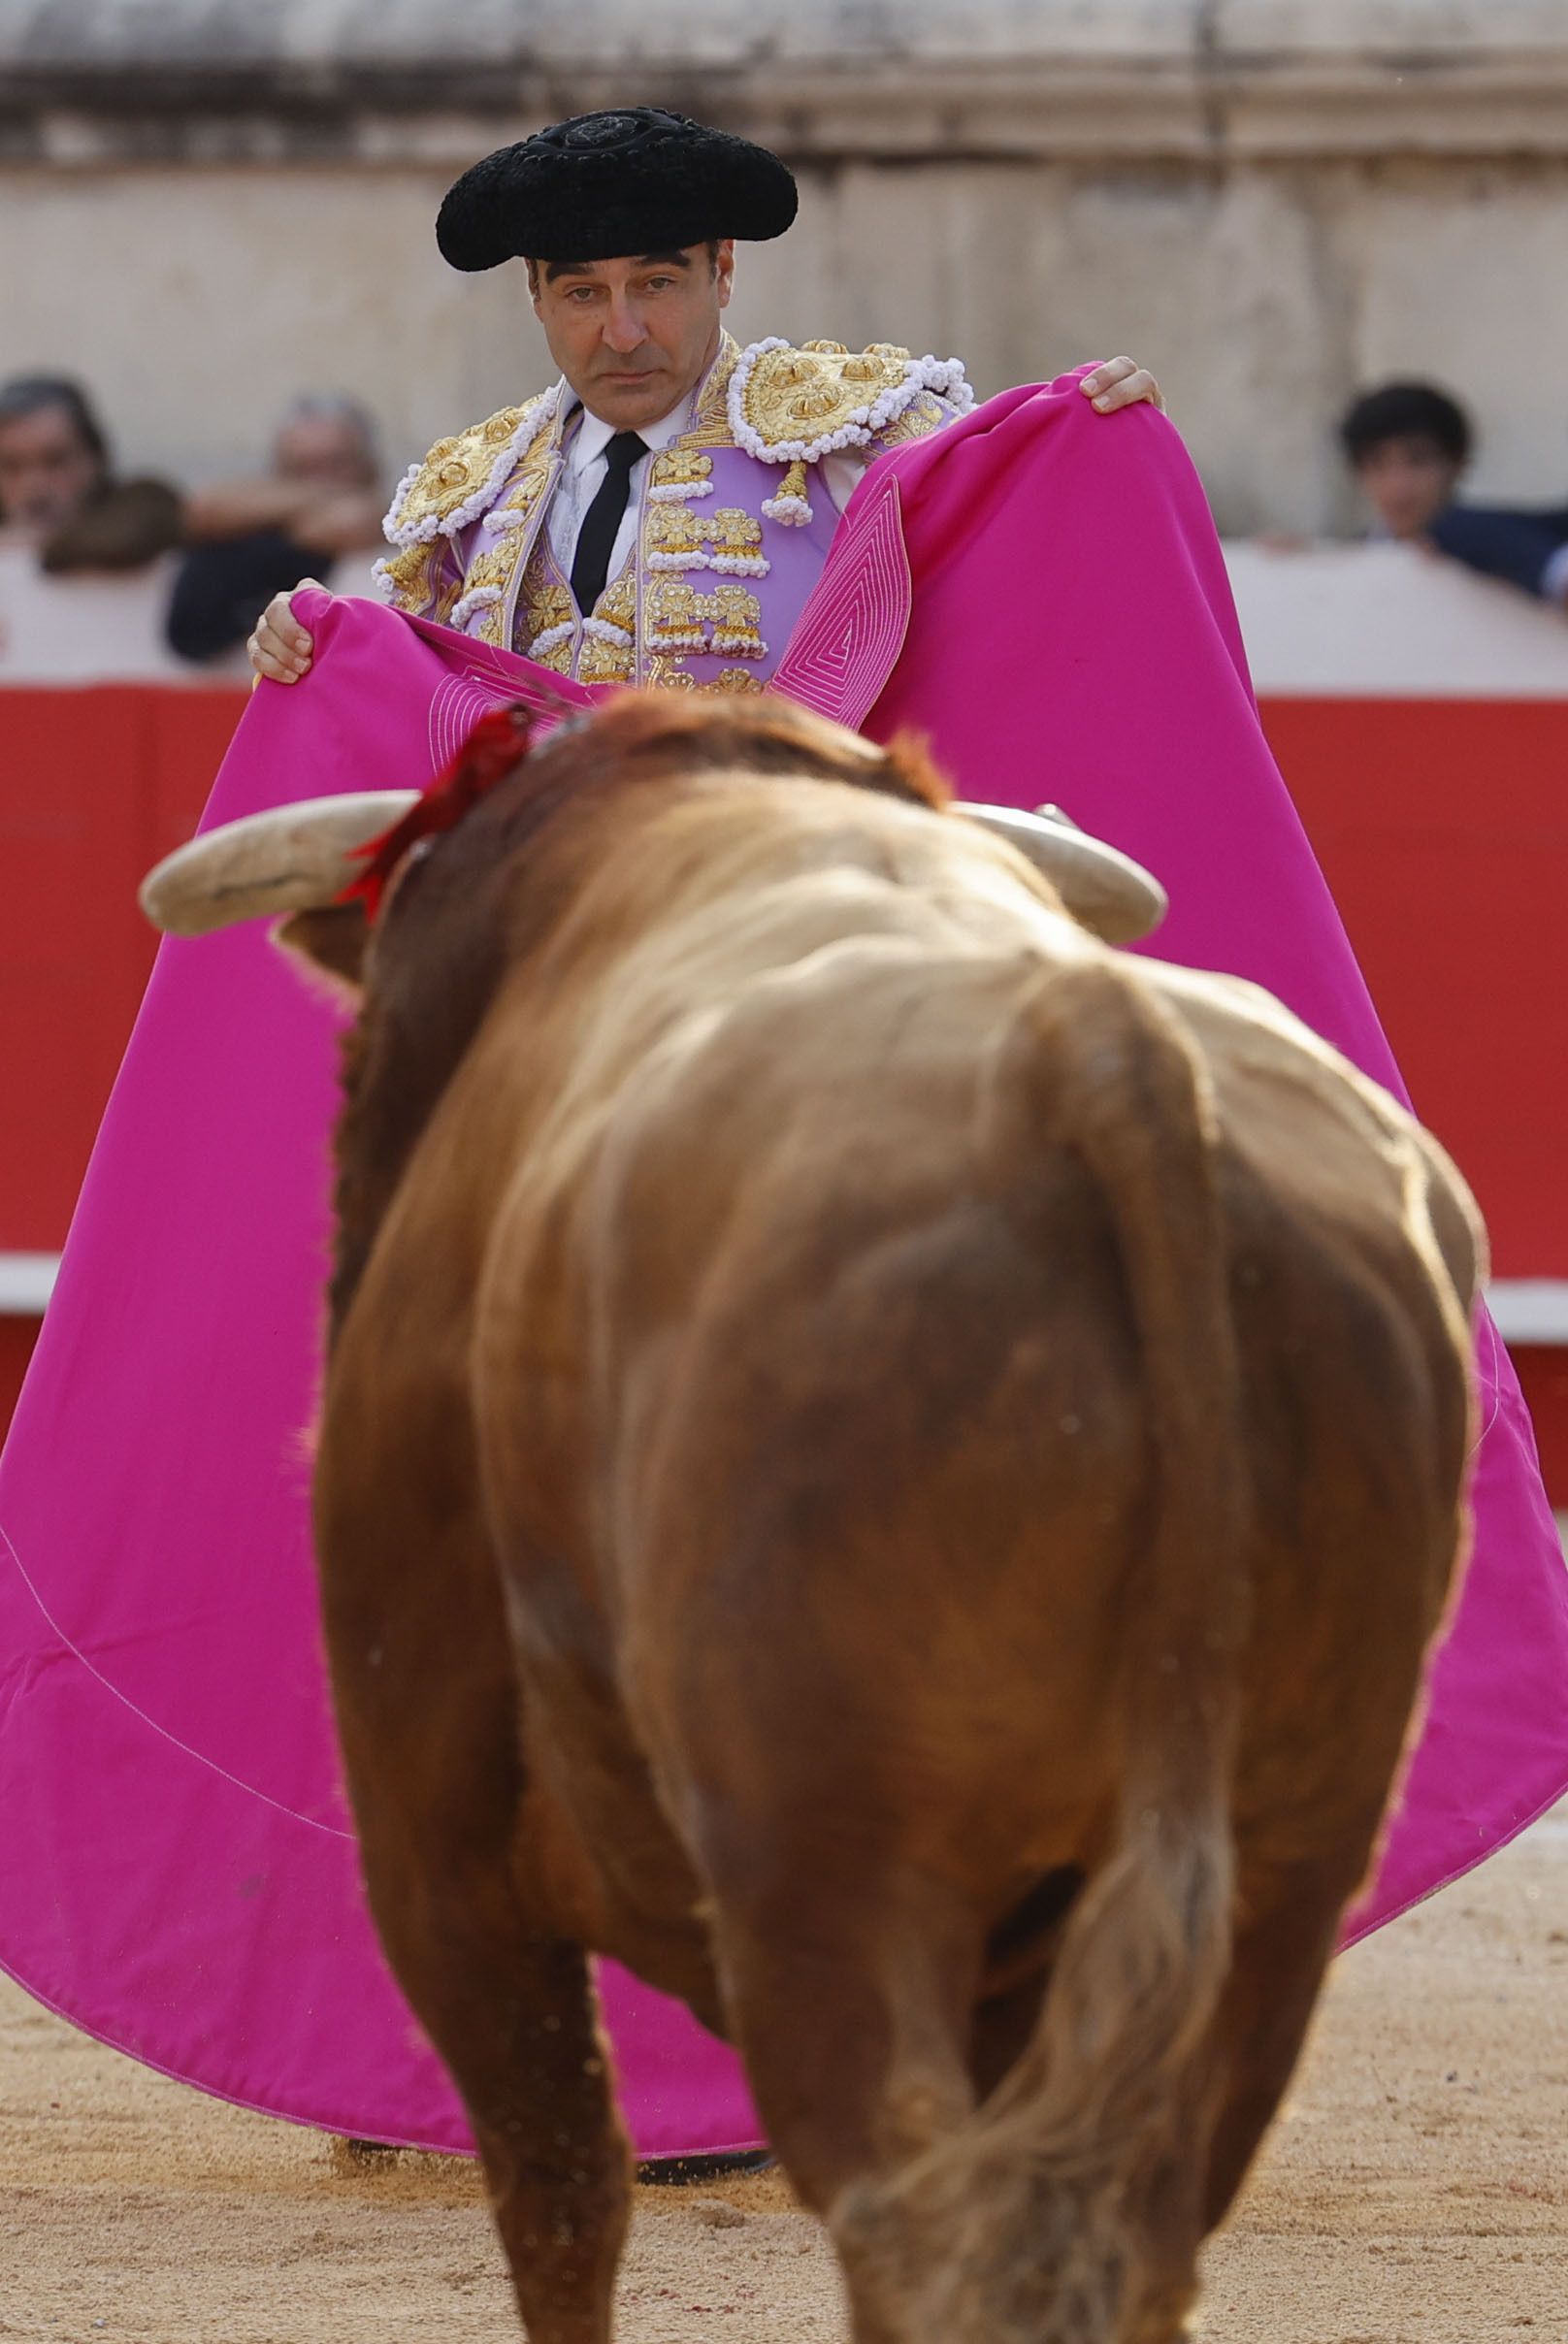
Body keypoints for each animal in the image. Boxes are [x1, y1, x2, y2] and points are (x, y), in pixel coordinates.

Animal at [137, 694, 1481, 2344]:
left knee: (905, 2221)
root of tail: (1102, 1058)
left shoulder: (433, 1831)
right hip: (1282, 1868)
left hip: (825, 1863)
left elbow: (560, 2186)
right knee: (1141, 2226)